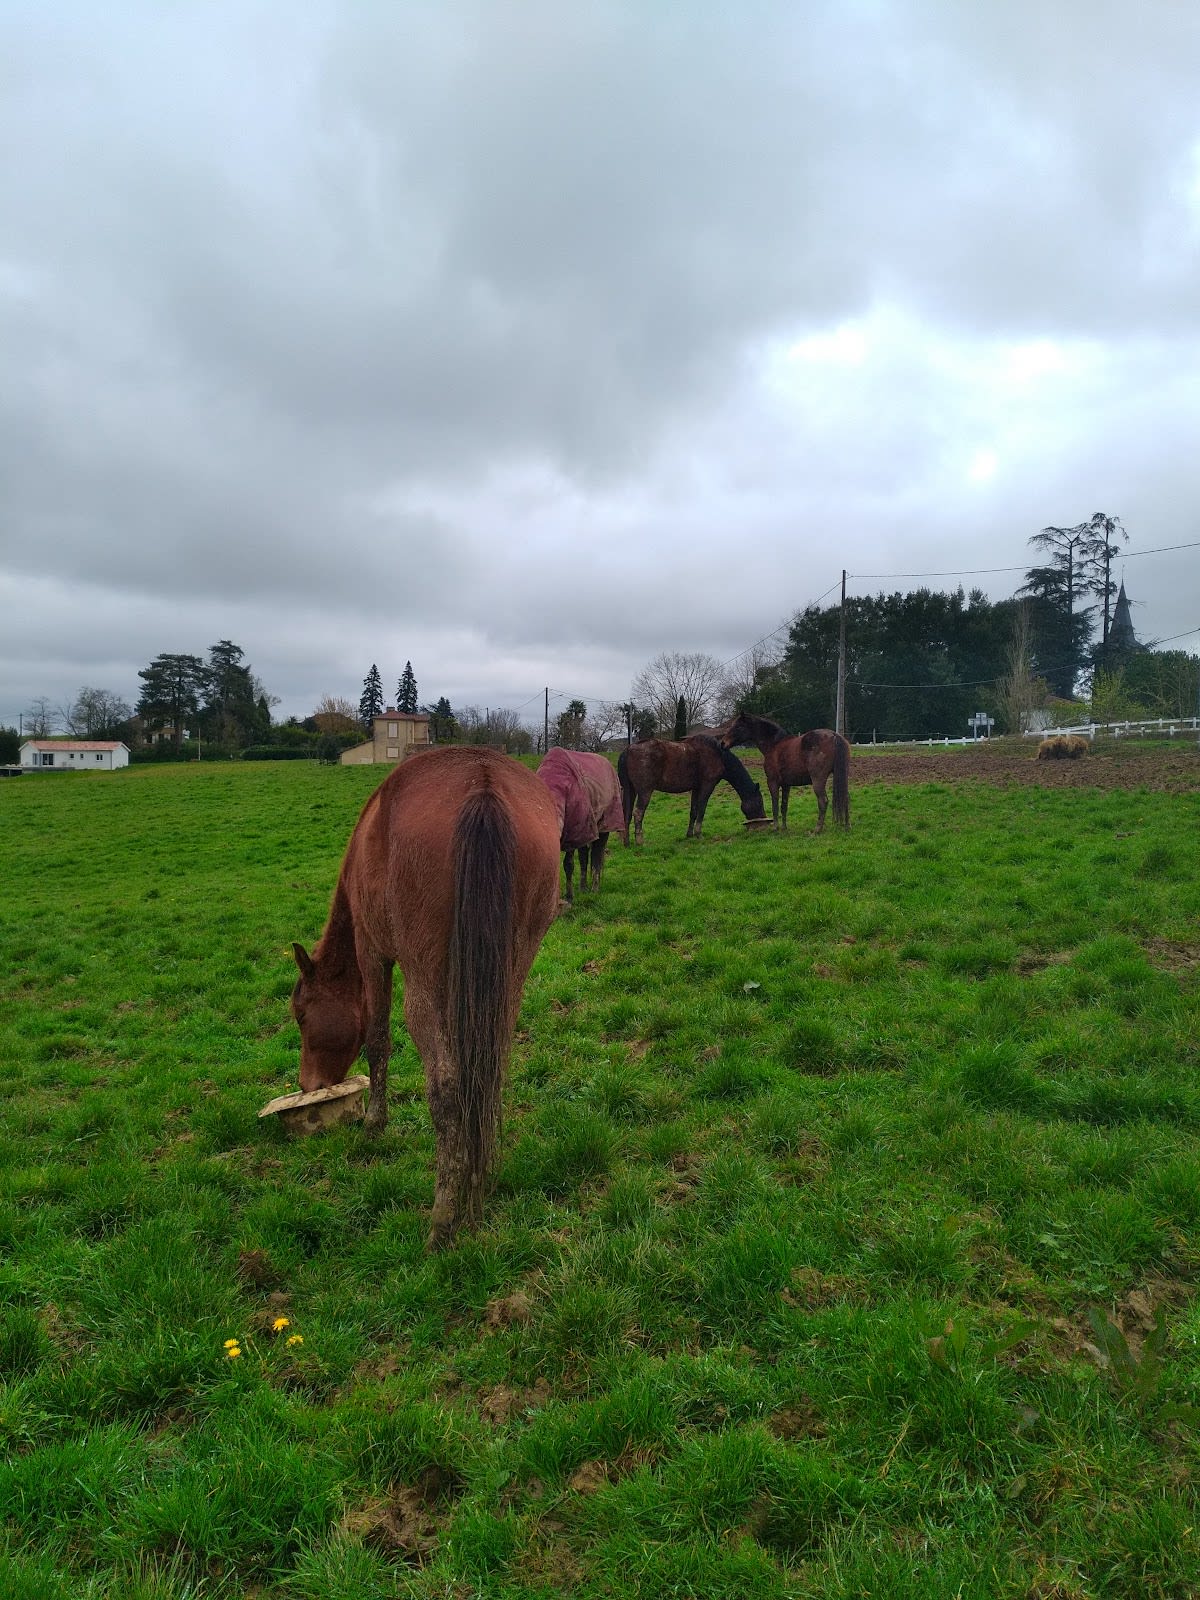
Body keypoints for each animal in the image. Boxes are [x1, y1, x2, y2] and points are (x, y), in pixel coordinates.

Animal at [289, 746, 561, 1250]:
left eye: (301, 1015)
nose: (307, 1084)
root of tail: (483, 783)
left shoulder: (373, 952)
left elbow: (377, 1040)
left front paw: (374, 1123)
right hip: (509, 977)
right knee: (486, 1077)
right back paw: (475, 1183)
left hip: (422, 984)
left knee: (447, 1087)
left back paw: (443, 1219)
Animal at [536, 747, 625, 903]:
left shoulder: (574, 832)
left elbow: (568, 864)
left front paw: (569, 897)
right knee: (584, 857)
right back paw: (583, 888)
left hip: (603, 826)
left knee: (596, 856)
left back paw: (595, 888)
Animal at [617, 734, 766, 845]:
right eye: (759, 802)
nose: (762, 821)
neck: (718, 755)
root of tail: (627, 750)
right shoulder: (707, 785)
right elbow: (702, 808)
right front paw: (698, 834)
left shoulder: (696, 788)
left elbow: (693, 811)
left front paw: (689, 834)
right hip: (644, 791)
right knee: (638, 813)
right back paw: (639, 841)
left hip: (630, 790)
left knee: (627, 813)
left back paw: (626, 842)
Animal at [715, 712, 850, 832]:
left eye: (738, 726)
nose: (722, 743)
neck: (774, 745)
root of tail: (834, 736)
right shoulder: (786, 785)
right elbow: (784, 806)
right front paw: (784, 828)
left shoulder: (772, 782)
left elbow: (775, 804)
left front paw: (775, 827)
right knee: (845, 797)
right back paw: (847, 826)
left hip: (818, 780)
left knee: (823, 801)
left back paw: (817, 829)